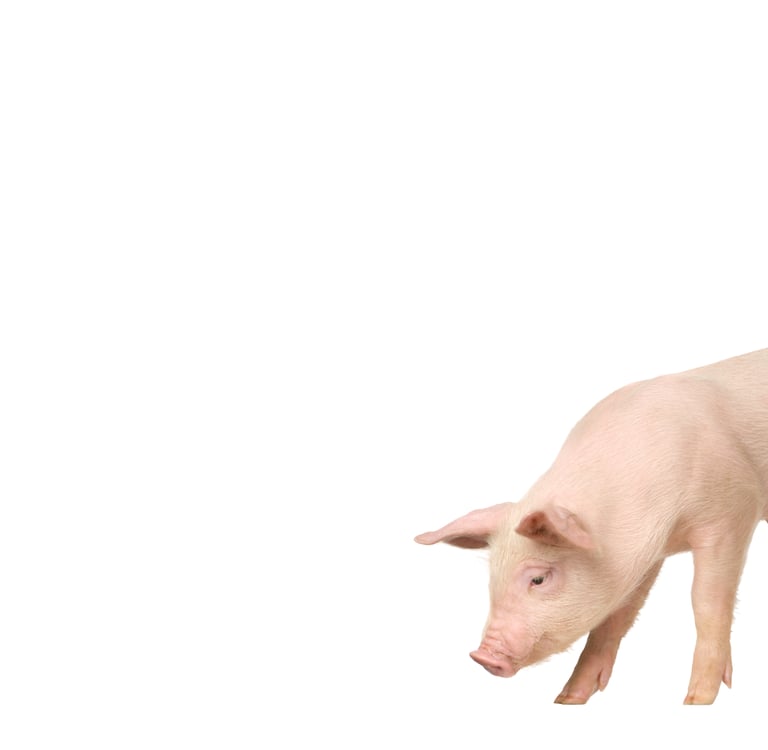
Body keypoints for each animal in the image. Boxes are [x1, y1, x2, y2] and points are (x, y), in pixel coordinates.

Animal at [415, 349, 768, 704]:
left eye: (538, 579)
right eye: (492, 580)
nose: (482, 656)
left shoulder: (730, 512)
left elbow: (706, 602)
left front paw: (696, 699)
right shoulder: (641, 558)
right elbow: (617, 617)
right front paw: (567, 699)